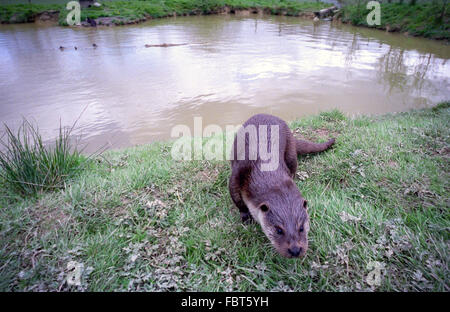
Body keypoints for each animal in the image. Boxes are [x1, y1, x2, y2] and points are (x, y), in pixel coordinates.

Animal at [230, 114, 336, 258]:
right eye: (279, 230)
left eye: (301, 227)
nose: (295, 250)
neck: (263, 167)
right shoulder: (238, 173)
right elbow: (236, 198)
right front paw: (245, 216)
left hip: (290, 150)